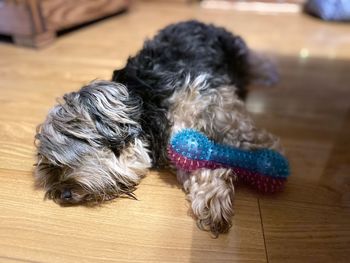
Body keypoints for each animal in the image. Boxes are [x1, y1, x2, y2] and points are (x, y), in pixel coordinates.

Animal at [34, 19, 282, 236]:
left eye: (59, 162)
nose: (63, 194)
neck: (144, 107)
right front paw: (212, 199)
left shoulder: (214, 99)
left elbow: (240, 131)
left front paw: (265, 156)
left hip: (237, 55)